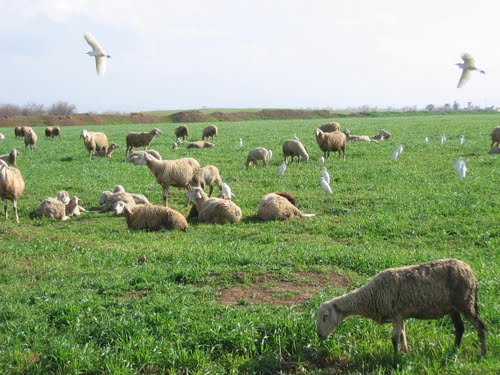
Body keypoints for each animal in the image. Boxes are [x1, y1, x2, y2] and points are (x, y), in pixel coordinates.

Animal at [318, 260, 486, 356]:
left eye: (325, 317)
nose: (319, 336)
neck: (370, 295)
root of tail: (471, 272)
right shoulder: (401, 316)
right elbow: (403, 336)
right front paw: (405, 352)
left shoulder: (396, 315)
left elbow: (394, 338)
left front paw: (395, 359)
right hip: (454, 308)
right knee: (460, 328)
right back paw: (454, 349)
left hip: (465, 302)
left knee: (480, 326)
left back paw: (483, 353)